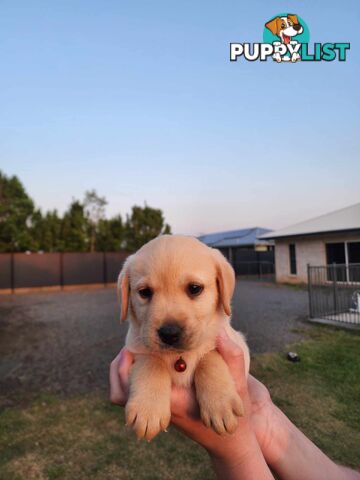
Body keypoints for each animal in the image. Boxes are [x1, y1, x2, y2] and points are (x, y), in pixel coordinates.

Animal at [116, 234, 249, 440]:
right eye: (144, 292)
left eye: (194, 288)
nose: (169, 333)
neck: (179, 356)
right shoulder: (134, 349)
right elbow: (152, 362)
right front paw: (148, 409)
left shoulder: (237, 344)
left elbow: (210, 357)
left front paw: (220, 404)